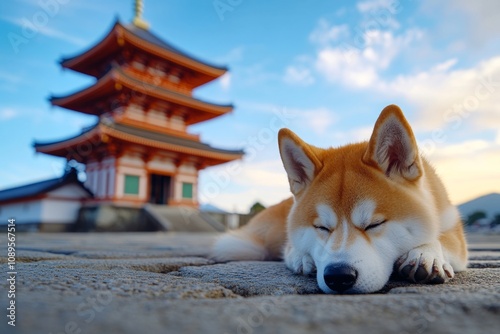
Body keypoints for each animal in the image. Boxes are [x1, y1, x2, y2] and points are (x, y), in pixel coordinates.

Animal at [212, 105, 468, 294]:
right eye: (321, 227)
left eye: (374, 224)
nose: (338, 276)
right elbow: (292, 247)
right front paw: (301, 256)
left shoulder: (455, 234)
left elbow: (442, 239)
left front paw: (425, 254)